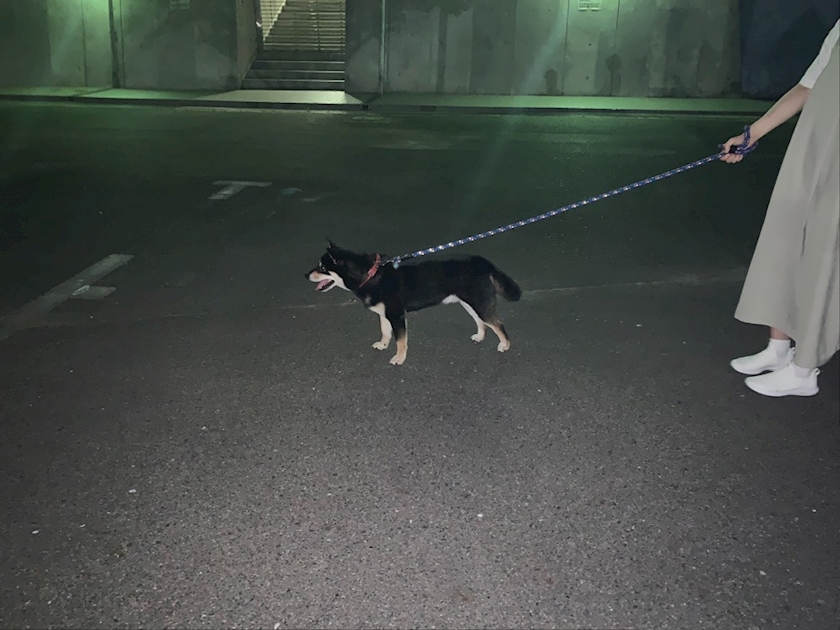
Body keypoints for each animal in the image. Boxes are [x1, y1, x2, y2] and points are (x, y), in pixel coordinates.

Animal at [306, 241, 522, 365]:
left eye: (322, 267)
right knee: (481, 322)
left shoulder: (396, 315)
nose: (306, 275)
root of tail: (483, 261)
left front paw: (399, 358)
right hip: (469, 303)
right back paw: (480, 336)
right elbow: (385, 332)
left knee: (497, 323)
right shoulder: (385, 314)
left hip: (479, 304)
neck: (369, 275)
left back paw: (505, 345)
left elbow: (400, 340)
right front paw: (383, 345)